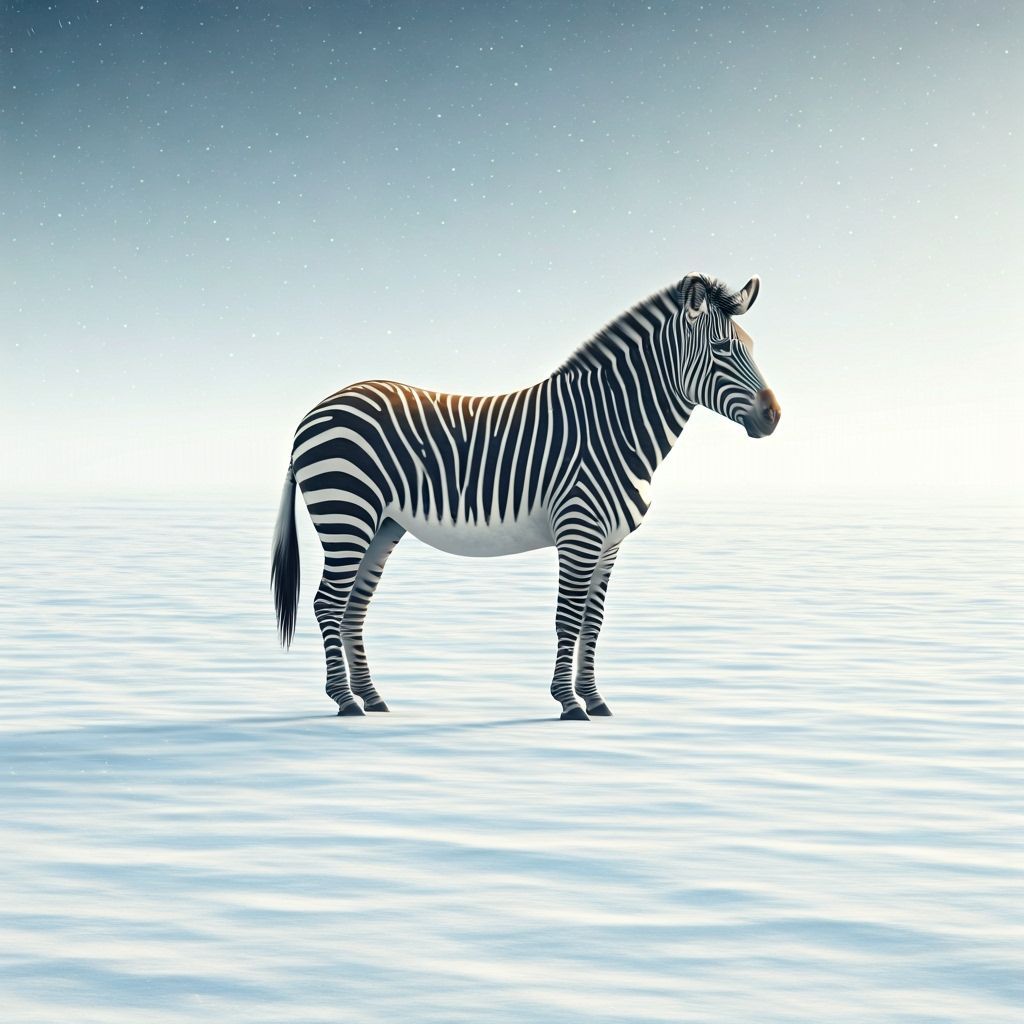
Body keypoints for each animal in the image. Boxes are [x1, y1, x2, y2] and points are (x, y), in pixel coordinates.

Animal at [272, 273, 781, 720]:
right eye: (721, 349)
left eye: (754, 348)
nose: (773, 417)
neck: (613, 426)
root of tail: (316, 411)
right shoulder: (580, 531)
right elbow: (568, 617)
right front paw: (569, 703)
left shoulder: (610, 542)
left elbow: (593, 621)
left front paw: (595, 700)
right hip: (346, 512)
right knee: (327, 603)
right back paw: (344, 701)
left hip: (382, 524)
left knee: (353, 607)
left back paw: (372, 697)